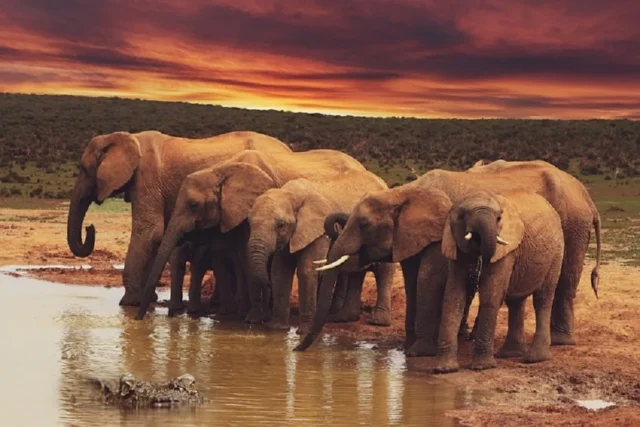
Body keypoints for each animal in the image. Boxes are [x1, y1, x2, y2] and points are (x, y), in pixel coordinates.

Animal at [66, 130, 292, 306]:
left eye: (84, 169)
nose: (90, 228)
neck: (128, 137)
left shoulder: (147, 178)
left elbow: (150, 232)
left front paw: (128, 303)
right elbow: (157, 237)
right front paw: (149, 299)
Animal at [134, 148, 372, 322]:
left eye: (194, 205)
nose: (138, 319)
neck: (222, 171)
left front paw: (255, 317)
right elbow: (241, 258)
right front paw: (245, 314)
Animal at [247, 173, 395, 334]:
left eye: (281, 225)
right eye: (249, 223)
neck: (291, 194)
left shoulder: (318, 231)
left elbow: (307, 270)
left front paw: (304, 331)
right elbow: (279, 272)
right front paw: (277, 329)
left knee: (383, 271)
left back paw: (378, 322)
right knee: (357, 273)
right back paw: (343, 318)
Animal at [434, 190, 564, 372]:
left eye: (498, 219)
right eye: (461, 216)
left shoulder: (506, 250)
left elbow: (491, 295)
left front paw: (482, 367)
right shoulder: (455, 246)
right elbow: (454, 297)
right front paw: (444, 369)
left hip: (556, 251)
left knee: (542, 298)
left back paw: (535, 358)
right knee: (516, 302)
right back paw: (511, 354)